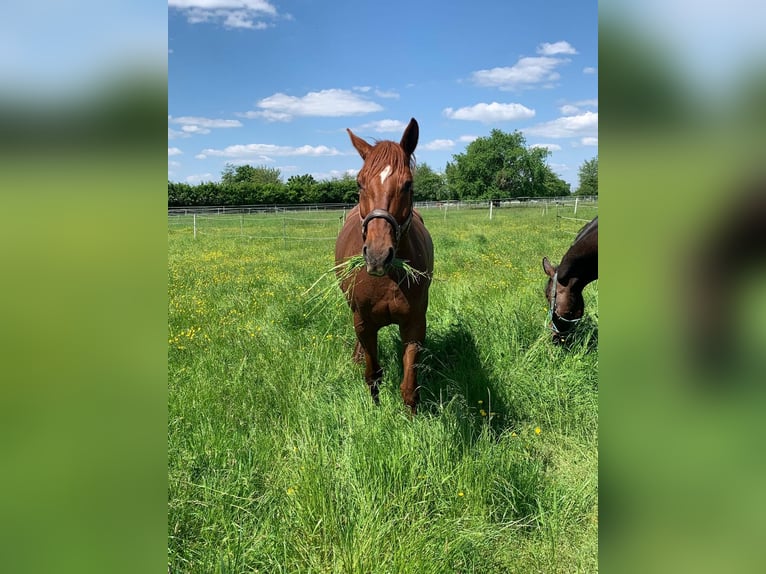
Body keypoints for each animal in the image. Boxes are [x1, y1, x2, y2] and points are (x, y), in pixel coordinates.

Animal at [334, 118, 436, 414]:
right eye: (359, 183)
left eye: (408, 184)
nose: (378, 256)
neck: (387, 279)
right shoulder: (364, 323)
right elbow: (373, 374)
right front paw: (375, 410)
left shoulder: (414, 325)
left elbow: (409, 386)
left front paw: (411, 419)